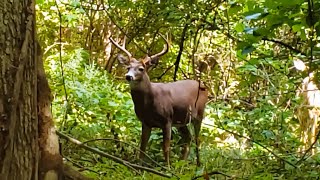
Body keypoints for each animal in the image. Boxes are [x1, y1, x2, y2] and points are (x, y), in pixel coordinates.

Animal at [109, 34, 209, 166]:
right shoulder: (146, 122)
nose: (128, 76)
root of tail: (204, 86)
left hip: (199, 114)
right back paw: (181, 163)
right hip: (181, 120)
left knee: (197, 139)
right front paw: (138, 166)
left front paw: (167, 168)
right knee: (188, 138)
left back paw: (198, 165)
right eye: (128, 67)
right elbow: (142, 147)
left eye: (141, 68)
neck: (149, 104)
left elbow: (165, 147)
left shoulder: (167, 120)